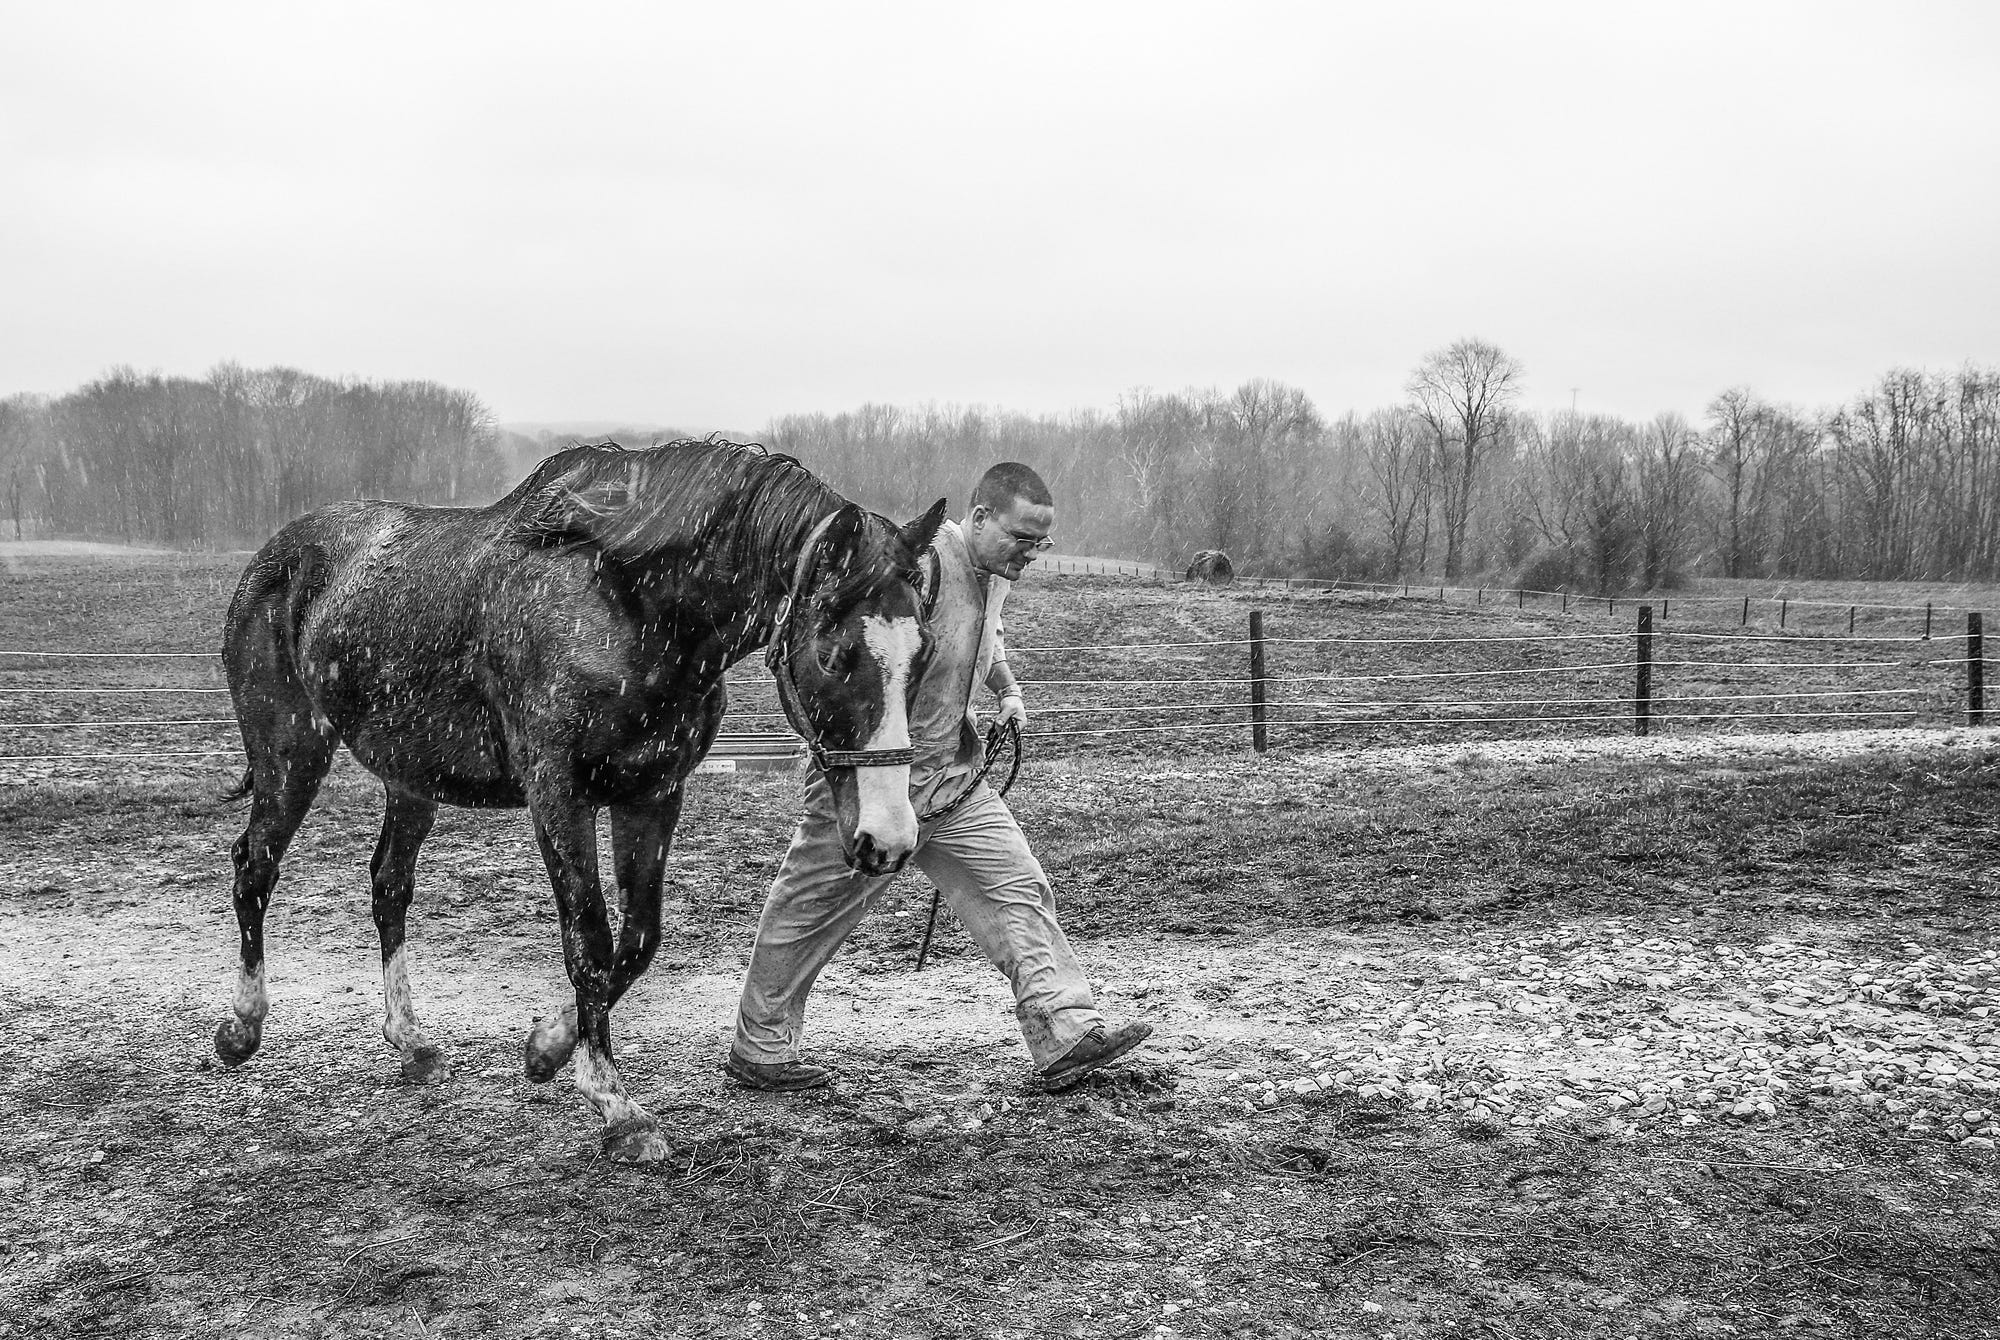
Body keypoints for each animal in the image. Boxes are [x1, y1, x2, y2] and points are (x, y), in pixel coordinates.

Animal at [215, 440, 948, 1168]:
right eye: (834, 653)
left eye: (925, 653)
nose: (889, 839)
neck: (634, 609)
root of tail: (275, 557)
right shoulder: (559, 798)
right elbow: (590, 939)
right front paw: (615, 1106)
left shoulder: (651, 796)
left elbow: (640, 938)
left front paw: (548, 1047)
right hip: (292, 753)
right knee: (255, 866)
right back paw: (242, 1027)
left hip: (411, 780)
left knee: (389, 885)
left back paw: (411, 1040)